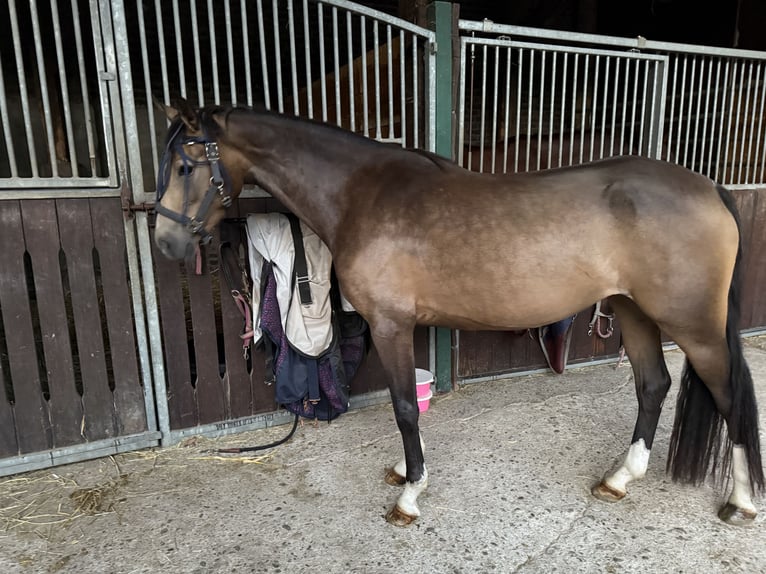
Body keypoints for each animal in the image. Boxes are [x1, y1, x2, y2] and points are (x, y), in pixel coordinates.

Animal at [153, 98, 764, 527]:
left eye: (185, 165)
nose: (166, 243)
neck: (361, 194)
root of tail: (709, 187)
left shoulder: (391, 324)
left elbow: (404, 406)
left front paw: (410, 494)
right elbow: (408, 407)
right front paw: (407, 470)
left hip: (695, 327)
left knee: (730, 395)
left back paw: (740, 502)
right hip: (632, 312)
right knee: (653, 384)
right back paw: (620, 477)